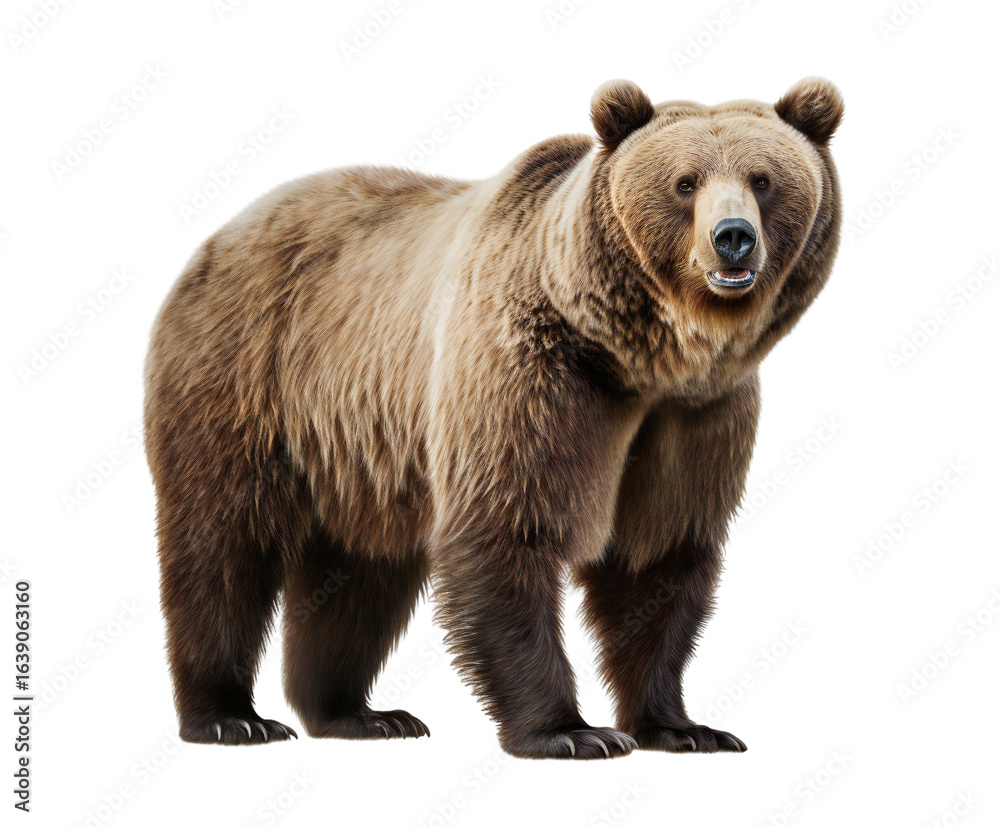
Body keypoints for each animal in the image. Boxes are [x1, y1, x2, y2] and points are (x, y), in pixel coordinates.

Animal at [144, 77, 842, 758]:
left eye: (764, 179)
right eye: (685, 182)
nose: (733, 237)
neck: (638, 359)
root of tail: (221, 232)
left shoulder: (696, 414)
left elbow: (659, 556)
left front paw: (684, 726)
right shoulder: (530, 371)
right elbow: (510, 526)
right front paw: (571, 730)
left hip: (361, 452)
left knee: (360, 571)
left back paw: (359, 714)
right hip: (246, 375)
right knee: (222, 542)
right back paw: (231, 717)